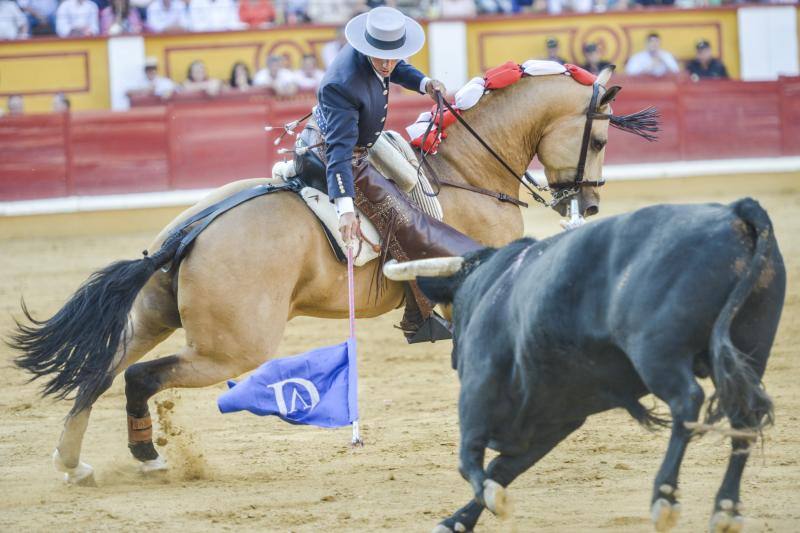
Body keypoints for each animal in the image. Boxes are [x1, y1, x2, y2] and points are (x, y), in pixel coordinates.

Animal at [14, 65, 644, 482]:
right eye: (598, 137)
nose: (588, 206)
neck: (465, 169)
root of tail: (191, 231)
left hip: (153, 315)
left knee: (98, 373)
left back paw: (72, 463)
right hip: (233, 346)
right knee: (140, 376)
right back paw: (147, 456)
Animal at [418, 200, 788, 532]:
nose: (454, 358)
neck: (491, 283)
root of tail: (735, 211)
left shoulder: (479, 386)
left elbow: (470, 458)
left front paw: (485, 503)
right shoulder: (555, 418)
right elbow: (502, 469)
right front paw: (457, 521)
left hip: (657, 352)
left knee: (688, 400)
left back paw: (664, 496)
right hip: (750, 349)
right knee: (744, 418)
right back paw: (726, 508)